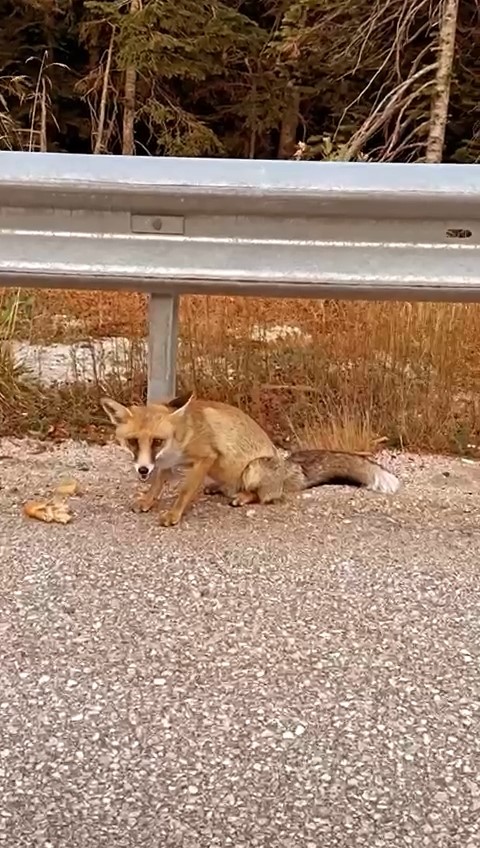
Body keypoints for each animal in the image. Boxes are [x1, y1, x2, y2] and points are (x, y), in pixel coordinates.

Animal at [102, 394, 402, 528]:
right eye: (133, 442)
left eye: (156, 441)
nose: (141, 468)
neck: (181, 437)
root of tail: (286, 469)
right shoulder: (165, 464)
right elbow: (156, 485)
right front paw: (147, 500)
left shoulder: (206, 457)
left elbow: (185, 491)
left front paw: (174, 515)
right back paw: (218, 489)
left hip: (253, 469)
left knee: (263, 497)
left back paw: (243, 497)